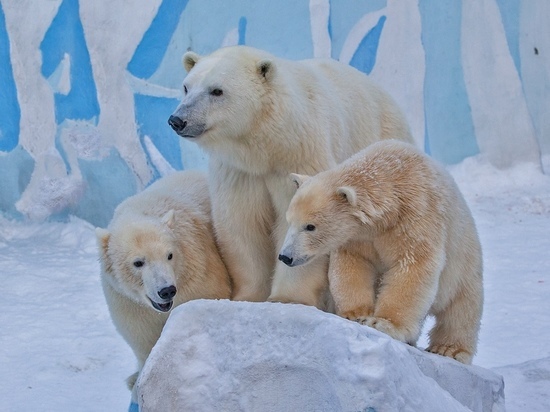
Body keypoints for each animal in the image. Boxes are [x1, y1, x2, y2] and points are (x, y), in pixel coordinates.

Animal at [96, 169, 232, 398]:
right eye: (138, 262)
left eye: (169, 255)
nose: (166, 291)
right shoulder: (126, 300)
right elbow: (142, 335)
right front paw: (139, 384)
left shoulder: (196, 273)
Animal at [168, 45, 414, 308]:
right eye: (186, 87)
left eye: (216, 90)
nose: (177, 120)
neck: (270, 145)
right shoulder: (240, 173)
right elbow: (242, 224)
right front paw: (248, 297)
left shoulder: (302, 156)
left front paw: (286, 298)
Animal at [280, 141, 484, 364]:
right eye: (290, 221)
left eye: (310, 226)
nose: (285, 256)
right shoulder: (359, 237)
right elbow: (352, 265)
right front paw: (357, 314)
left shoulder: (417, 215)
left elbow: (414, 264)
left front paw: (383, 323)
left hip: (464, 264)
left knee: (461, 308)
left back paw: (448, 349)